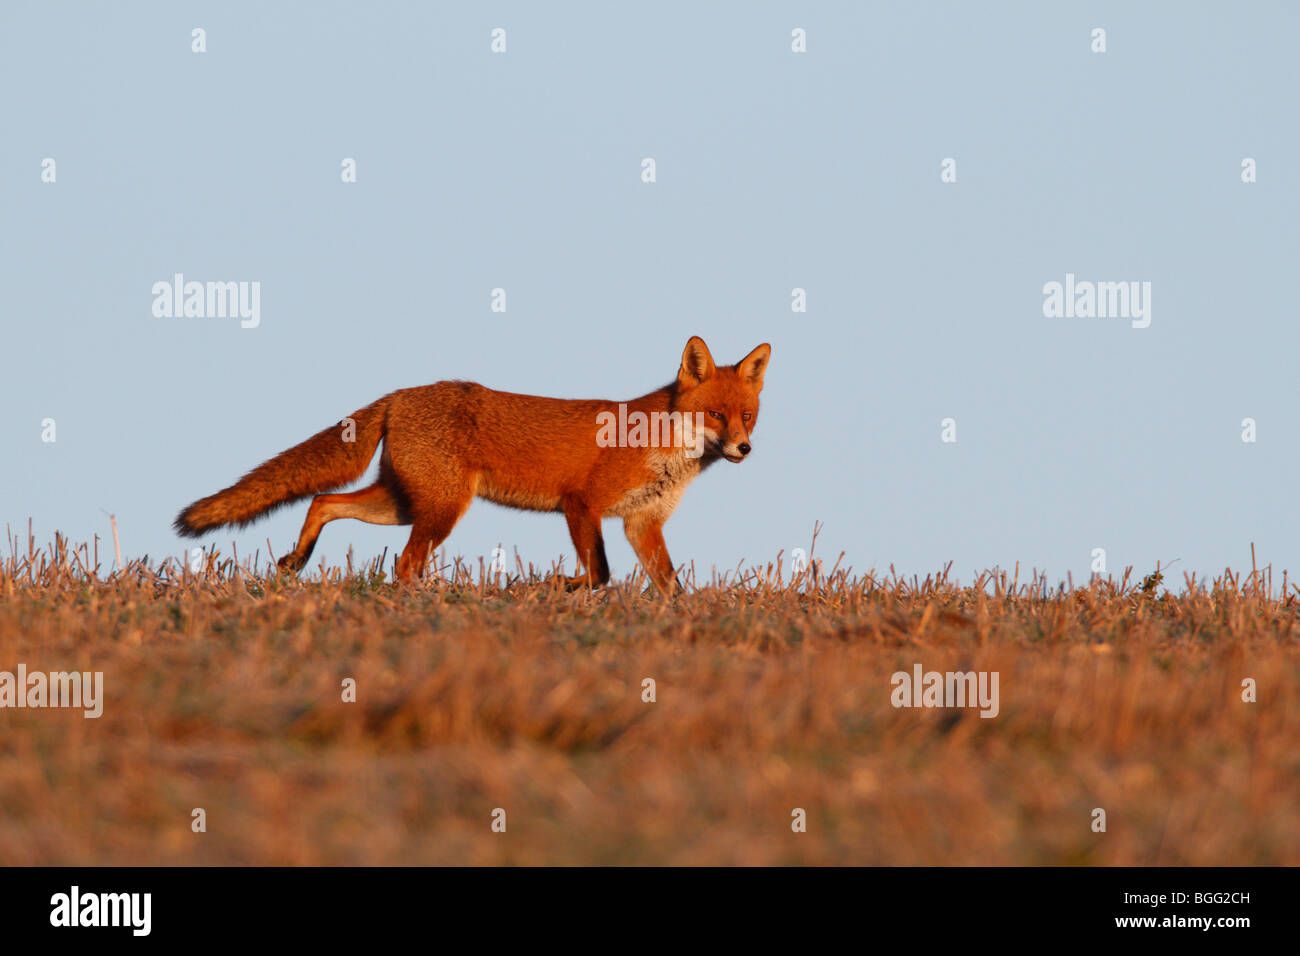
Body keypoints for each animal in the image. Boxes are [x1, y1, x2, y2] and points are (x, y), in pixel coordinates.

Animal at [179, 335, 774, 590]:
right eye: (715, 414)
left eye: (747, 417)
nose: (744, 449)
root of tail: (399, 395)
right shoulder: (581, 504)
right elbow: (600, 574)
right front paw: (552, 592)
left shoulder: (641, 523)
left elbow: (670, 585)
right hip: (442, 509)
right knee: (404, 564)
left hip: (405, 503)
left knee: (324, 501)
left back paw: (296, 562)